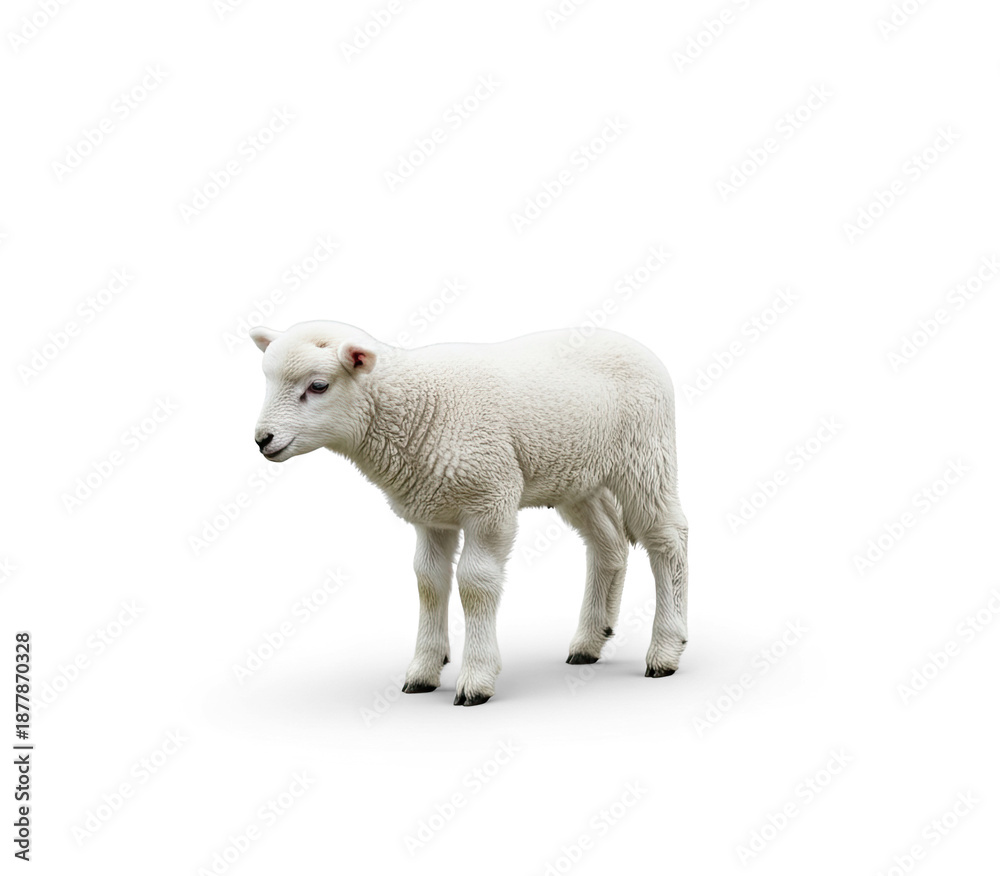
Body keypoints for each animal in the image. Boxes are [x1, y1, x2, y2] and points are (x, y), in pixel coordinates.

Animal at [249, 321, 688, 706]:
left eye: (318, 386)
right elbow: (428, 581)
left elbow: (475, 583)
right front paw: (423, 672)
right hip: (578, 477)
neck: (413, 407)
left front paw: (476, 679)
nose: (262, 440)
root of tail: (636, 345)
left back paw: (666, 649)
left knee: (668, 539)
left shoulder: (490, 500)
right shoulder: (431, 513)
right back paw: (589, 642)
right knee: (608, 544)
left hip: (645, 457)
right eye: (267, 380)